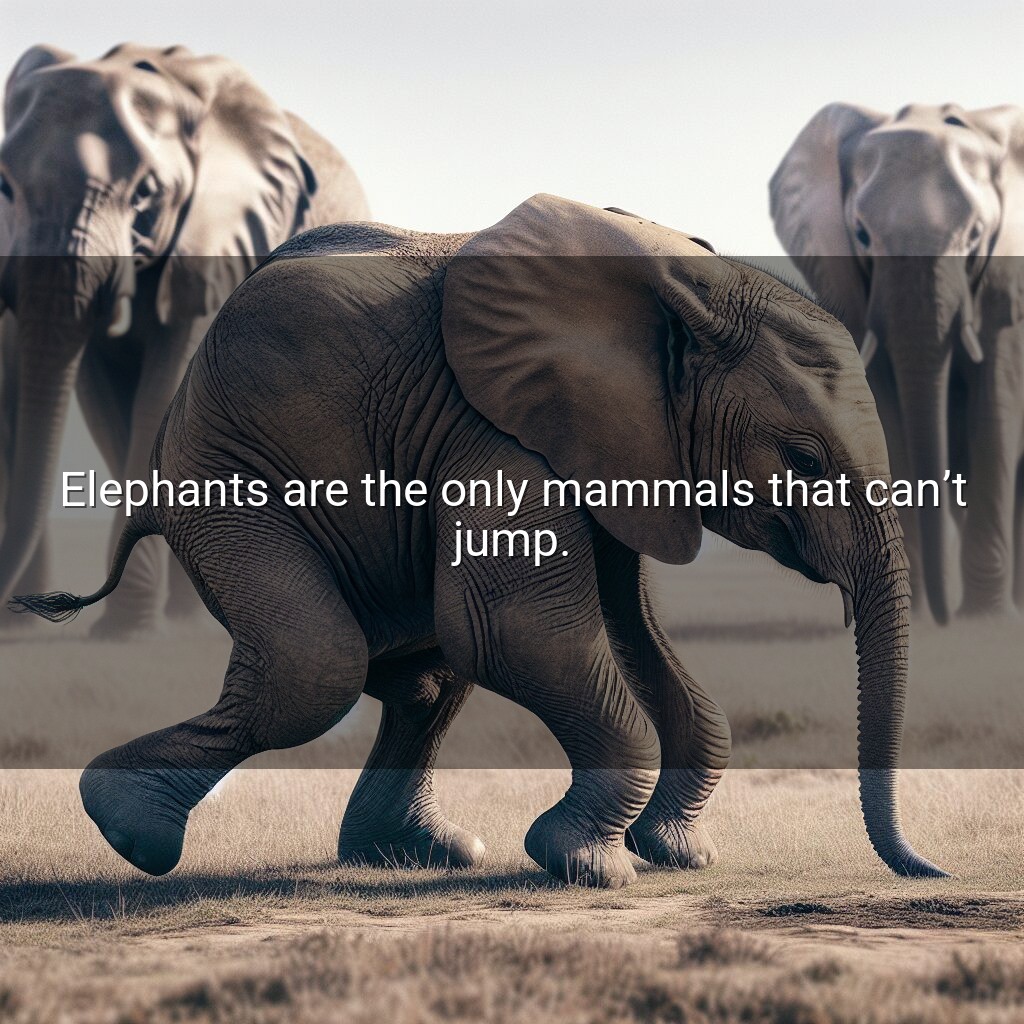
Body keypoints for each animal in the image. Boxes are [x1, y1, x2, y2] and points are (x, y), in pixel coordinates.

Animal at [0, 42, 369, 636]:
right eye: (5, 187)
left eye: (146, 193)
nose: (23, 609)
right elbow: (108, 401)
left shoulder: (215, 248)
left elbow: (162, 393)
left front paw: (126, 633)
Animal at [12, 195, 945, 887]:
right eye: (804, 460)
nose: (928, 869)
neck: (685, 290)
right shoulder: (498, 436)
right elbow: (519, 633)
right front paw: (591, 866)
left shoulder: (611, 449)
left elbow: (631, 635)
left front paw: (677, 855)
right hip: (228, 480)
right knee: (315, 665)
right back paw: (130, 834)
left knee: (421, 677)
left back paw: (418, 855)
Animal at [771, 103, 1024, 621]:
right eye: (861, 234)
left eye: (975, 235)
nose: (945, 620)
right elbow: (884, 415)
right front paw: (921, 613)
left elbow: (995, 406)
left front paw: (985, 619)